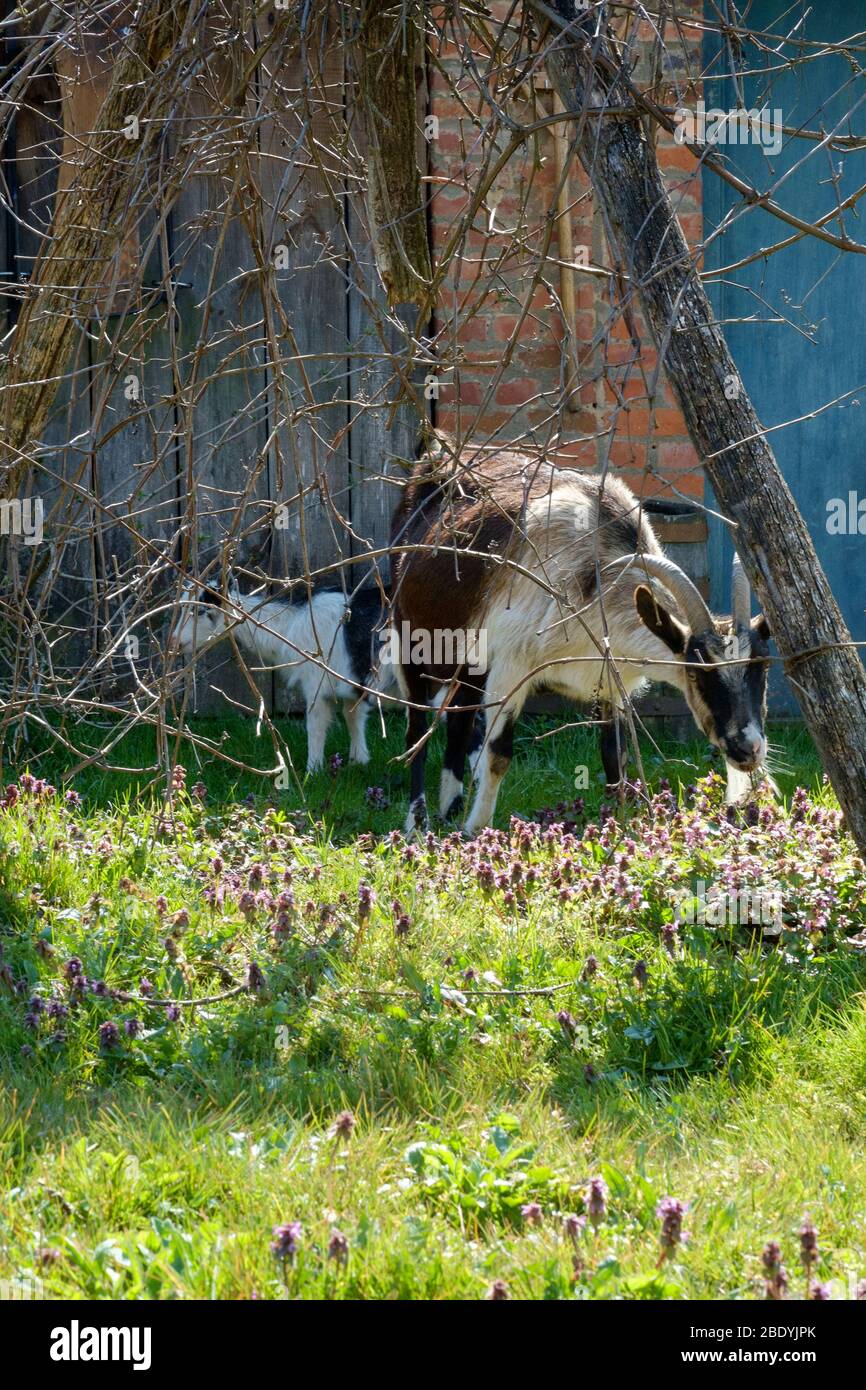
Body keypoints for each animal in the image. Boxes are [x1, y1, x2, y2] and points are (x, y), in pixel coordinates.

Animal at [173, 575, 397, 772]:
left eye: (201, 611)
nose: (176, 643)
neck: (291, 624)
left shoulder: (317, 682)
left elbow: (315, 725)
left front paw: (312, 772)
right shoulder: (352, 684)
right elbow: (353, 718)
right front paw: (359, 761)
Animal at [391, 444, 772, 828]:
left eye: (763, 666)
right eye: (695, 672)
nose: (748, 749)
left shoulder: (612, 681)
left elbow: (615, 757)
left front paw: (618, 825)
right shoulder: (511, 666)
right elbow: (498, 754)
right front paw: (476, 829)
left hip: (469, 663)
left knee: (459, 720)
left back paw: (449, 810)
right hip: (407, 635)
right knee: (417, 729)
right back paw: (417, 820)